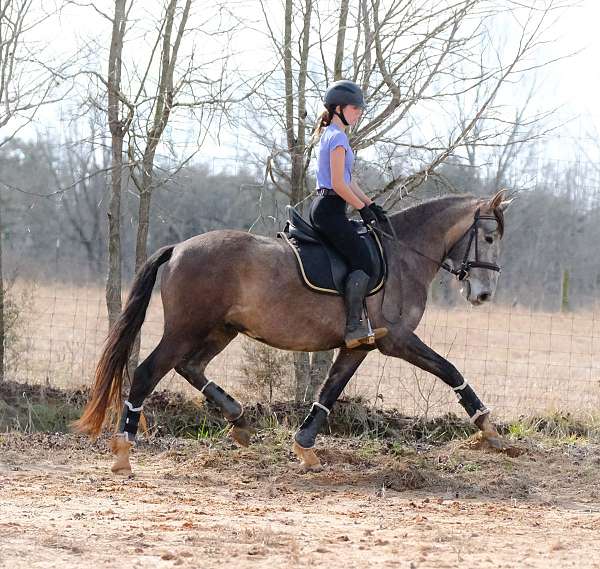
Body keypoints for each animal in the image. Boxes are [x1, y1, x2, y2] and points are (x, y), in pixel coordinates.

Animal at [74, 189, 510, 472]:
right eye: (488, 237)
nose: (484, 294)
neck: (403, 255)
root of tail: (178, 248)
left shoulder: (360, 346)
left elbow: (329, 392)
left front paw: (305, 448)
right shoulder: (398, 341)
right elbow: (450, 370)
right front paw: (489, 428)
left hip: (220, 330)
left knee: (191, 367)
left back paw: (240, 422)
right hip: (186, 328)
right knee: (148, 372)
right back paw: (123, 451)